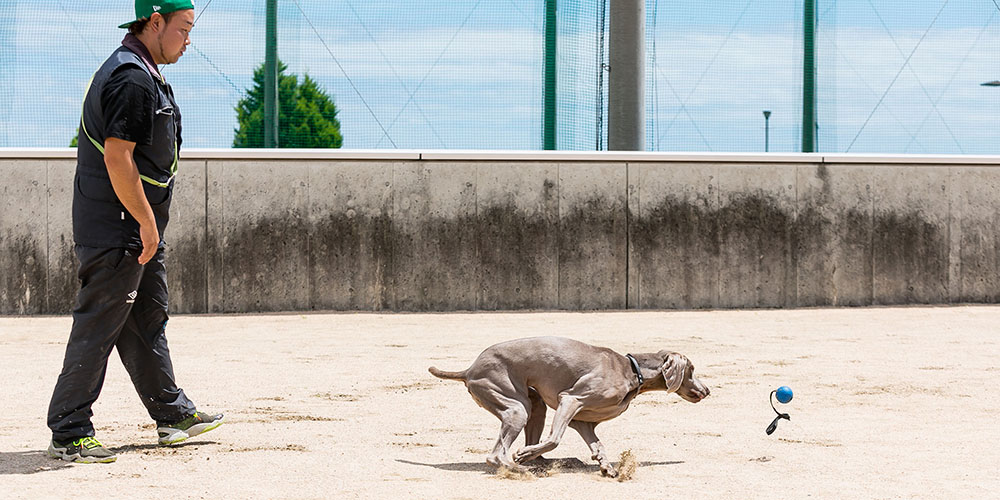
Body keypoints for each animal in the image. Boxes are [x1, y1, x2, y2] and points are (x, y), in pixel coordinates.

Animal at [430, 336, 712, 476]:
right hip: (515, 406)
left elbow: (598, 445)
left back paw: (541, 462)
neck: (632, 371)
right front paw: (523, 455)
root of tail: (469, 369)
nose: (708, 391)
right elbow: (555, 438)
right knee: (496, 455)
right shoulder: (571, 400)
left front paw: (606, 467)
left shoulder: (582, 421)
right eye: (692, 370)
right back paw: (520, 466)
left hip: (532, 404)